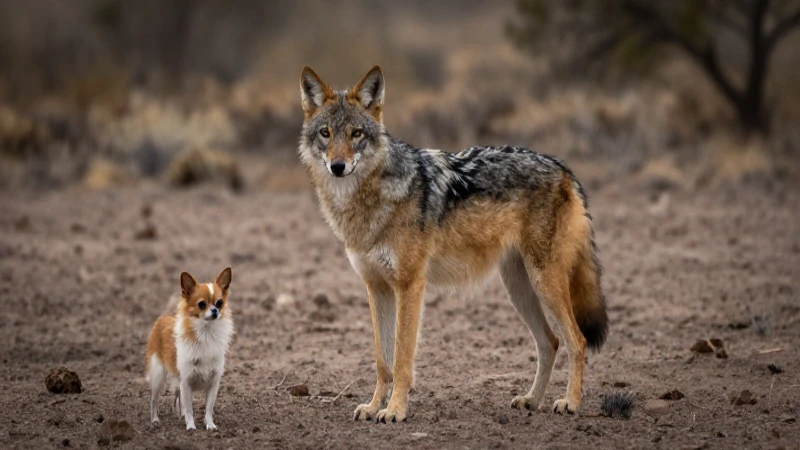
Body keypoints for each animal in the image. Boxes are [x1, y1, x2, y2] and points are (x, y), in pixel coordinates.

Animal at [298, 65, 608, 423]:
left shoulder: (410, 285)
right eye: (325, 133)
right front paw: (374, 406)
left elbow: (401, 360)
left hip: (545, 283)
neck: (370, 201)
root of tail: (563, 167)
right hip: (519, 288)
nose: (338, 167)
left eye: (356, 134)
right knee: (550, 342)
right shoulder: (376, 287)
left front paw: (395, 410)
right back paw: (531, 400)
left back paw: (570, 402)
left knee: (577, 341)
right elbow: (382, 362)